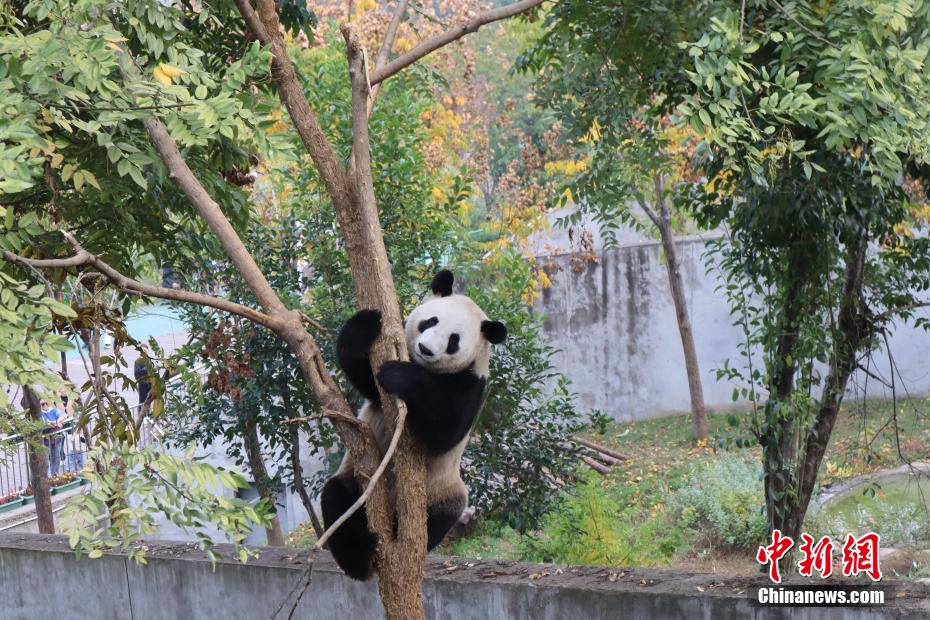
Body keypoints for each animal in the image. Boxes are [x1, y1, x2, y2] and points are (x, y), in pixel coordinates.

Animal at [320, 270, 508, 580]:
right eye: (430, 321)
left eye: (454, 340)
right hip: (356, 482)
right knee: (338, 499)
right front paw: (365, 324)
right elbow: (366, 380)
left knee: (441, 516)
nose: (425, 349)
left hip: (443, 490)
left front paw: (399, 375)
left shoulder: (471, 384)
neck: (425, 367)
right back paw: (360, 557)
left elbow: (445, 431)